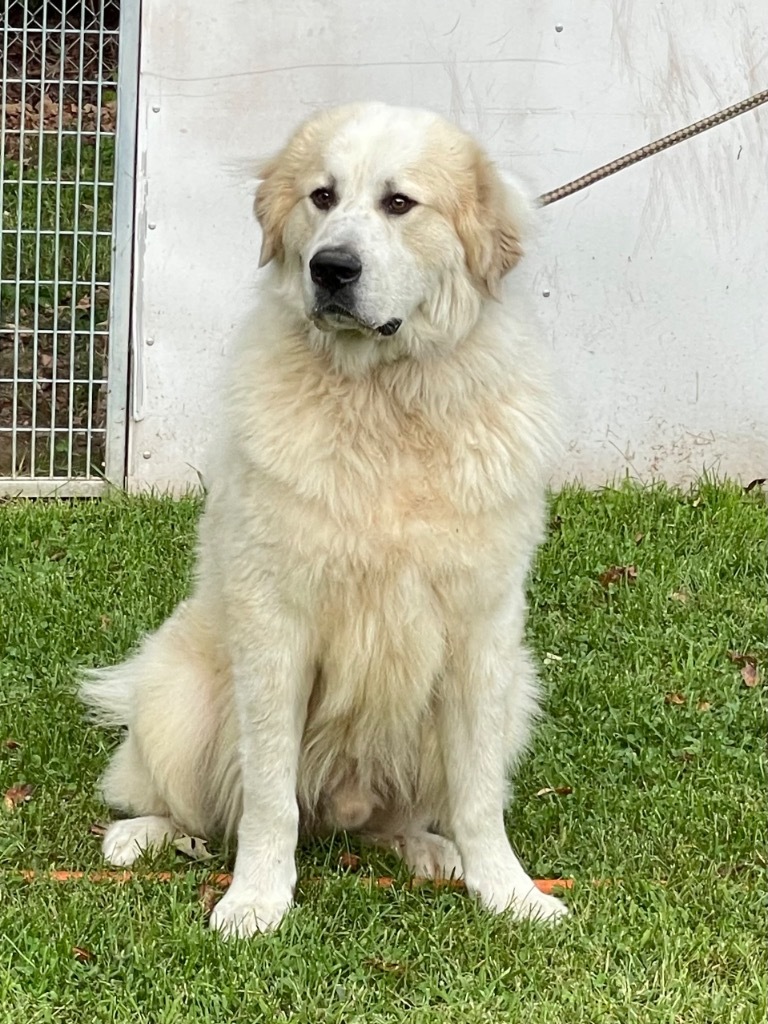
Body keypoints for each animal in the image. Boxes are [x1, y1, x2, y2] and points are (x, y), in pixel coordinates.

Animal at [83, 101, 569, 937]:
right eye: (322, 197)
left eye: (399, 203)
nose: (331, 269)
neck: (384, 400)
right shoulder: (276, 628)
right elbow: (268, 796)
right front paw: (256, 900)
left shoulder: (482, 635)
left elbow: (479, 797)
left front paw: (508, 893)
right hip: (179, 695)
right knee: (187, 806)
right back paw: (141, 837)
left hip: (515, 691)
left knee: (399, 815)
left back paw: (426, 848)